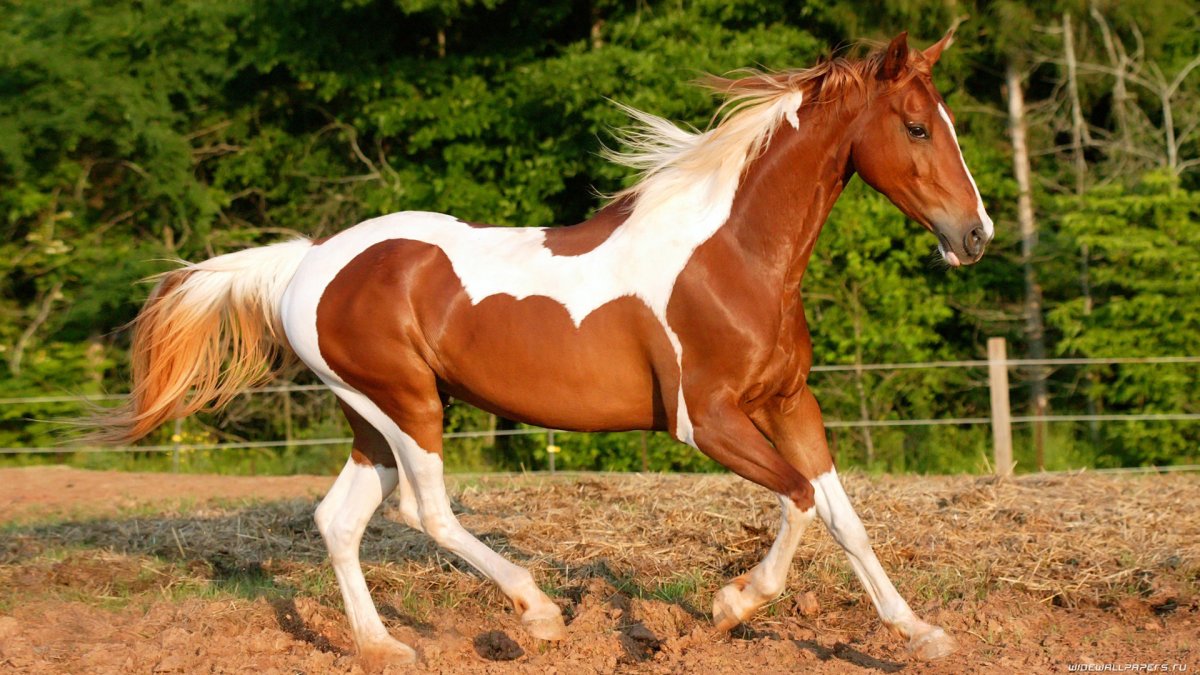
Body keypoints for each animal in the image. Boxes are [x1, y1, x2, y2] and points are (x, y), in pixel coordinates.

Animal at [88, 29, 991, 665]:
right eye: (917, 126)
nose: (975, 235)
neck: (732, 255)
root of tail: (308, 259)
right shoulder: (707, 419)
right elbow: (800, 500)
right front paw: (732, 603)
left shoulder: (788, 401)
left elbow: (843, 515)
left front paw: (921, 633)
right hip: (407, 404)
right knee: (425, 510)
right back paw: (539, 612)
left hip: (369, 415)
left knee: (339, 518)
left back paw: (385, 645)